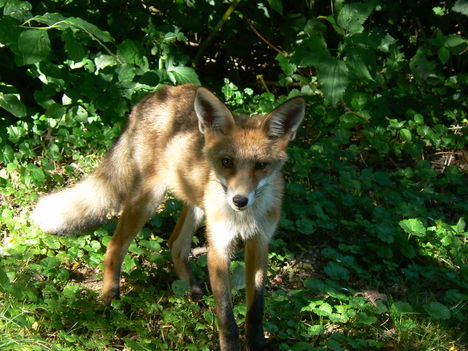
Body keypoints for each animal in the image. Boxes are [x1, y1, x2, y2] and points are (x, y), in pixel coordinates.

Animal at [31, 85, 306, 351]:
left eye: (261, 165)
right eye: (227, 162)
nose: (239, 200)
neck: (244, 219)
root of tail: (157, 93)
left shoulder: (259, 244)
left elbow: (256, 311)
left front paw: (258, 344)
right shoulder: (219, 247)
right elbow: (227, 318)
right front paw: (230, 345)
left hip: (195, 204)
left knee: (175, 244)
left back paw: (192, 291)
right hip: (148, 199)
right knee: (115, 245)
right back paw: (110, 298)